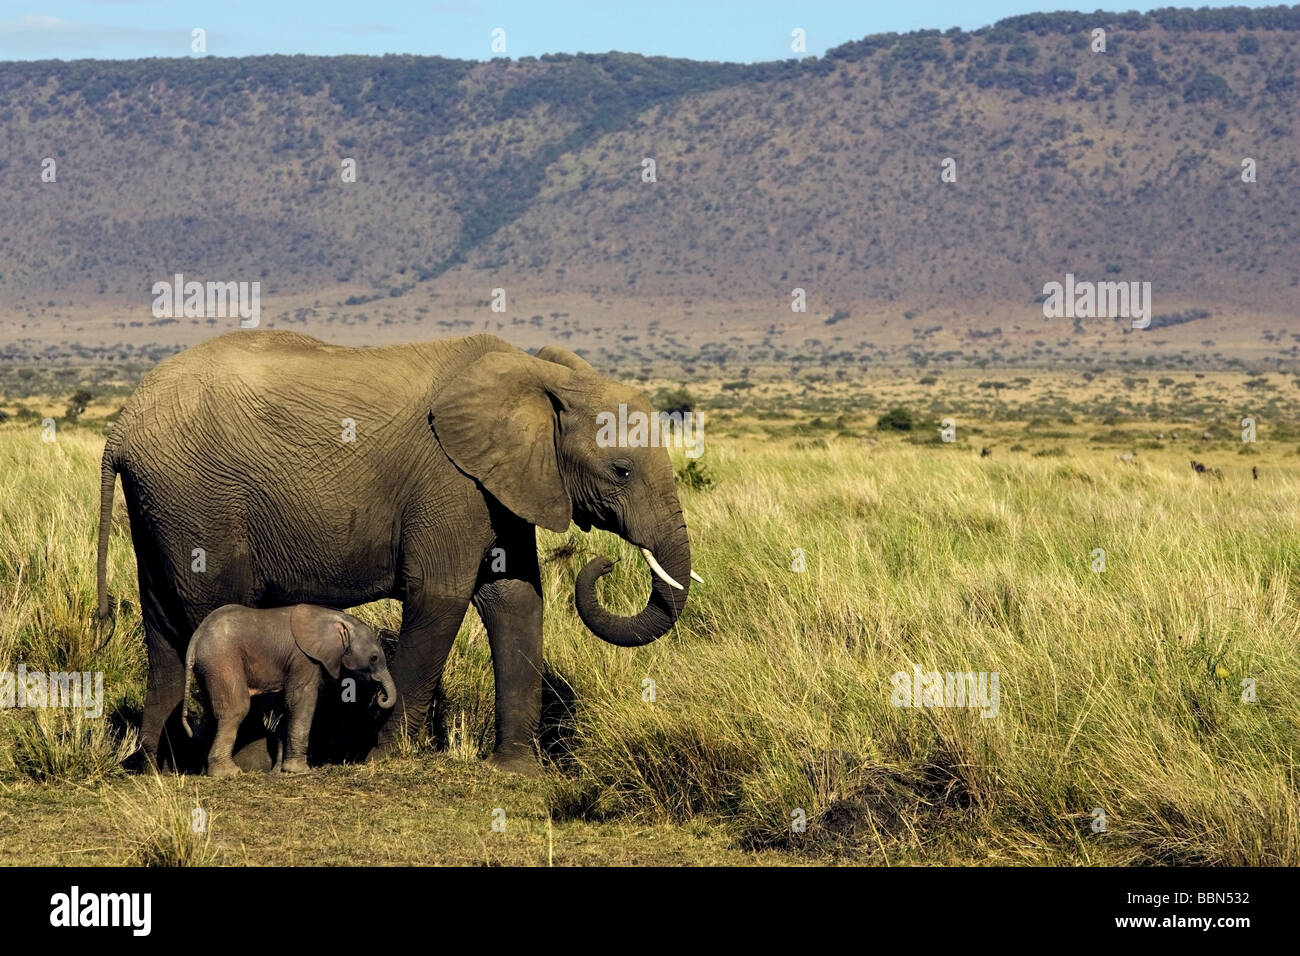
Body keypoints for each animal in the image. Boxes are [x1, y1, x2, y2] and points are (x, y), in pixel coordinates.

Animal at [182, 606, 395, 780]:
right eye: (374, 658)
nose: (381, 696)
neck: (333, 616)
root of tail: (196, 639)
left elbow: (285, 706)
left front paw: (279, 771)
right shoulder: (304, 658)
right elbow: (302, 699)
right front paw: (300, 770)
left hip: (209, 667)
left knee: (213, 712)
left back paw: (206, 771)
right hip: (223, 659)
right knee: (236, 709)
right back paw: (228, 773)